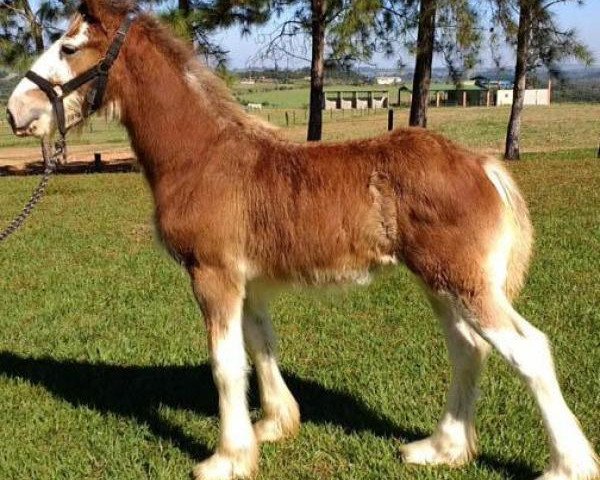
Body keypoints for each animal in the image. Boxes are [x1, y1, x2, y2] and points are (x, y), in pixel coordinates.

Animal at [5, 1, 600, 478]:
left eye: (69, 46)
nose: (16, 111)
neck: (204, 155)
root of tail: (483, 164)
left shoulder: (212, 275)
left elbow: (225, 364)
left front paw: (226, 459)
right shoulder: (248, 280)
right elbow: (260, 347)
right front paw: (274, 427)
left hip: (465, 283)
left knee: (529, 350)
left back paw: (566, 465)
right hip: (442, 283)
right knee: (467, 350)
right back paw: (441, 449)